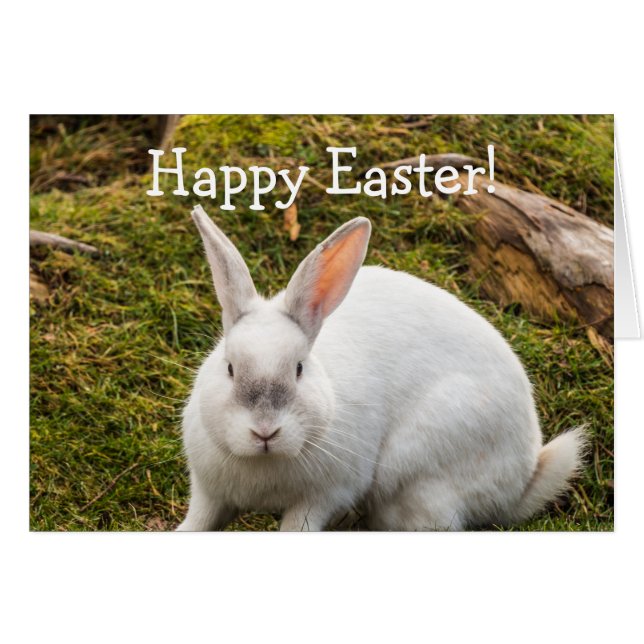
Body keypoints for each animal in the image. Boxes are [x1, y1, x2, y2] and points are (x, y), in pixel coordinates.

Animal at [177, 205, 587, 531]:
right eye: (230, 368)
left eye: (299, 369)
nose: (265, 431)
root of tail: (523, 478)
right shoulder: (209, 493)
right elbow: (198, 523)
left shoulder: (322, 497)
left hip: (419, 477)